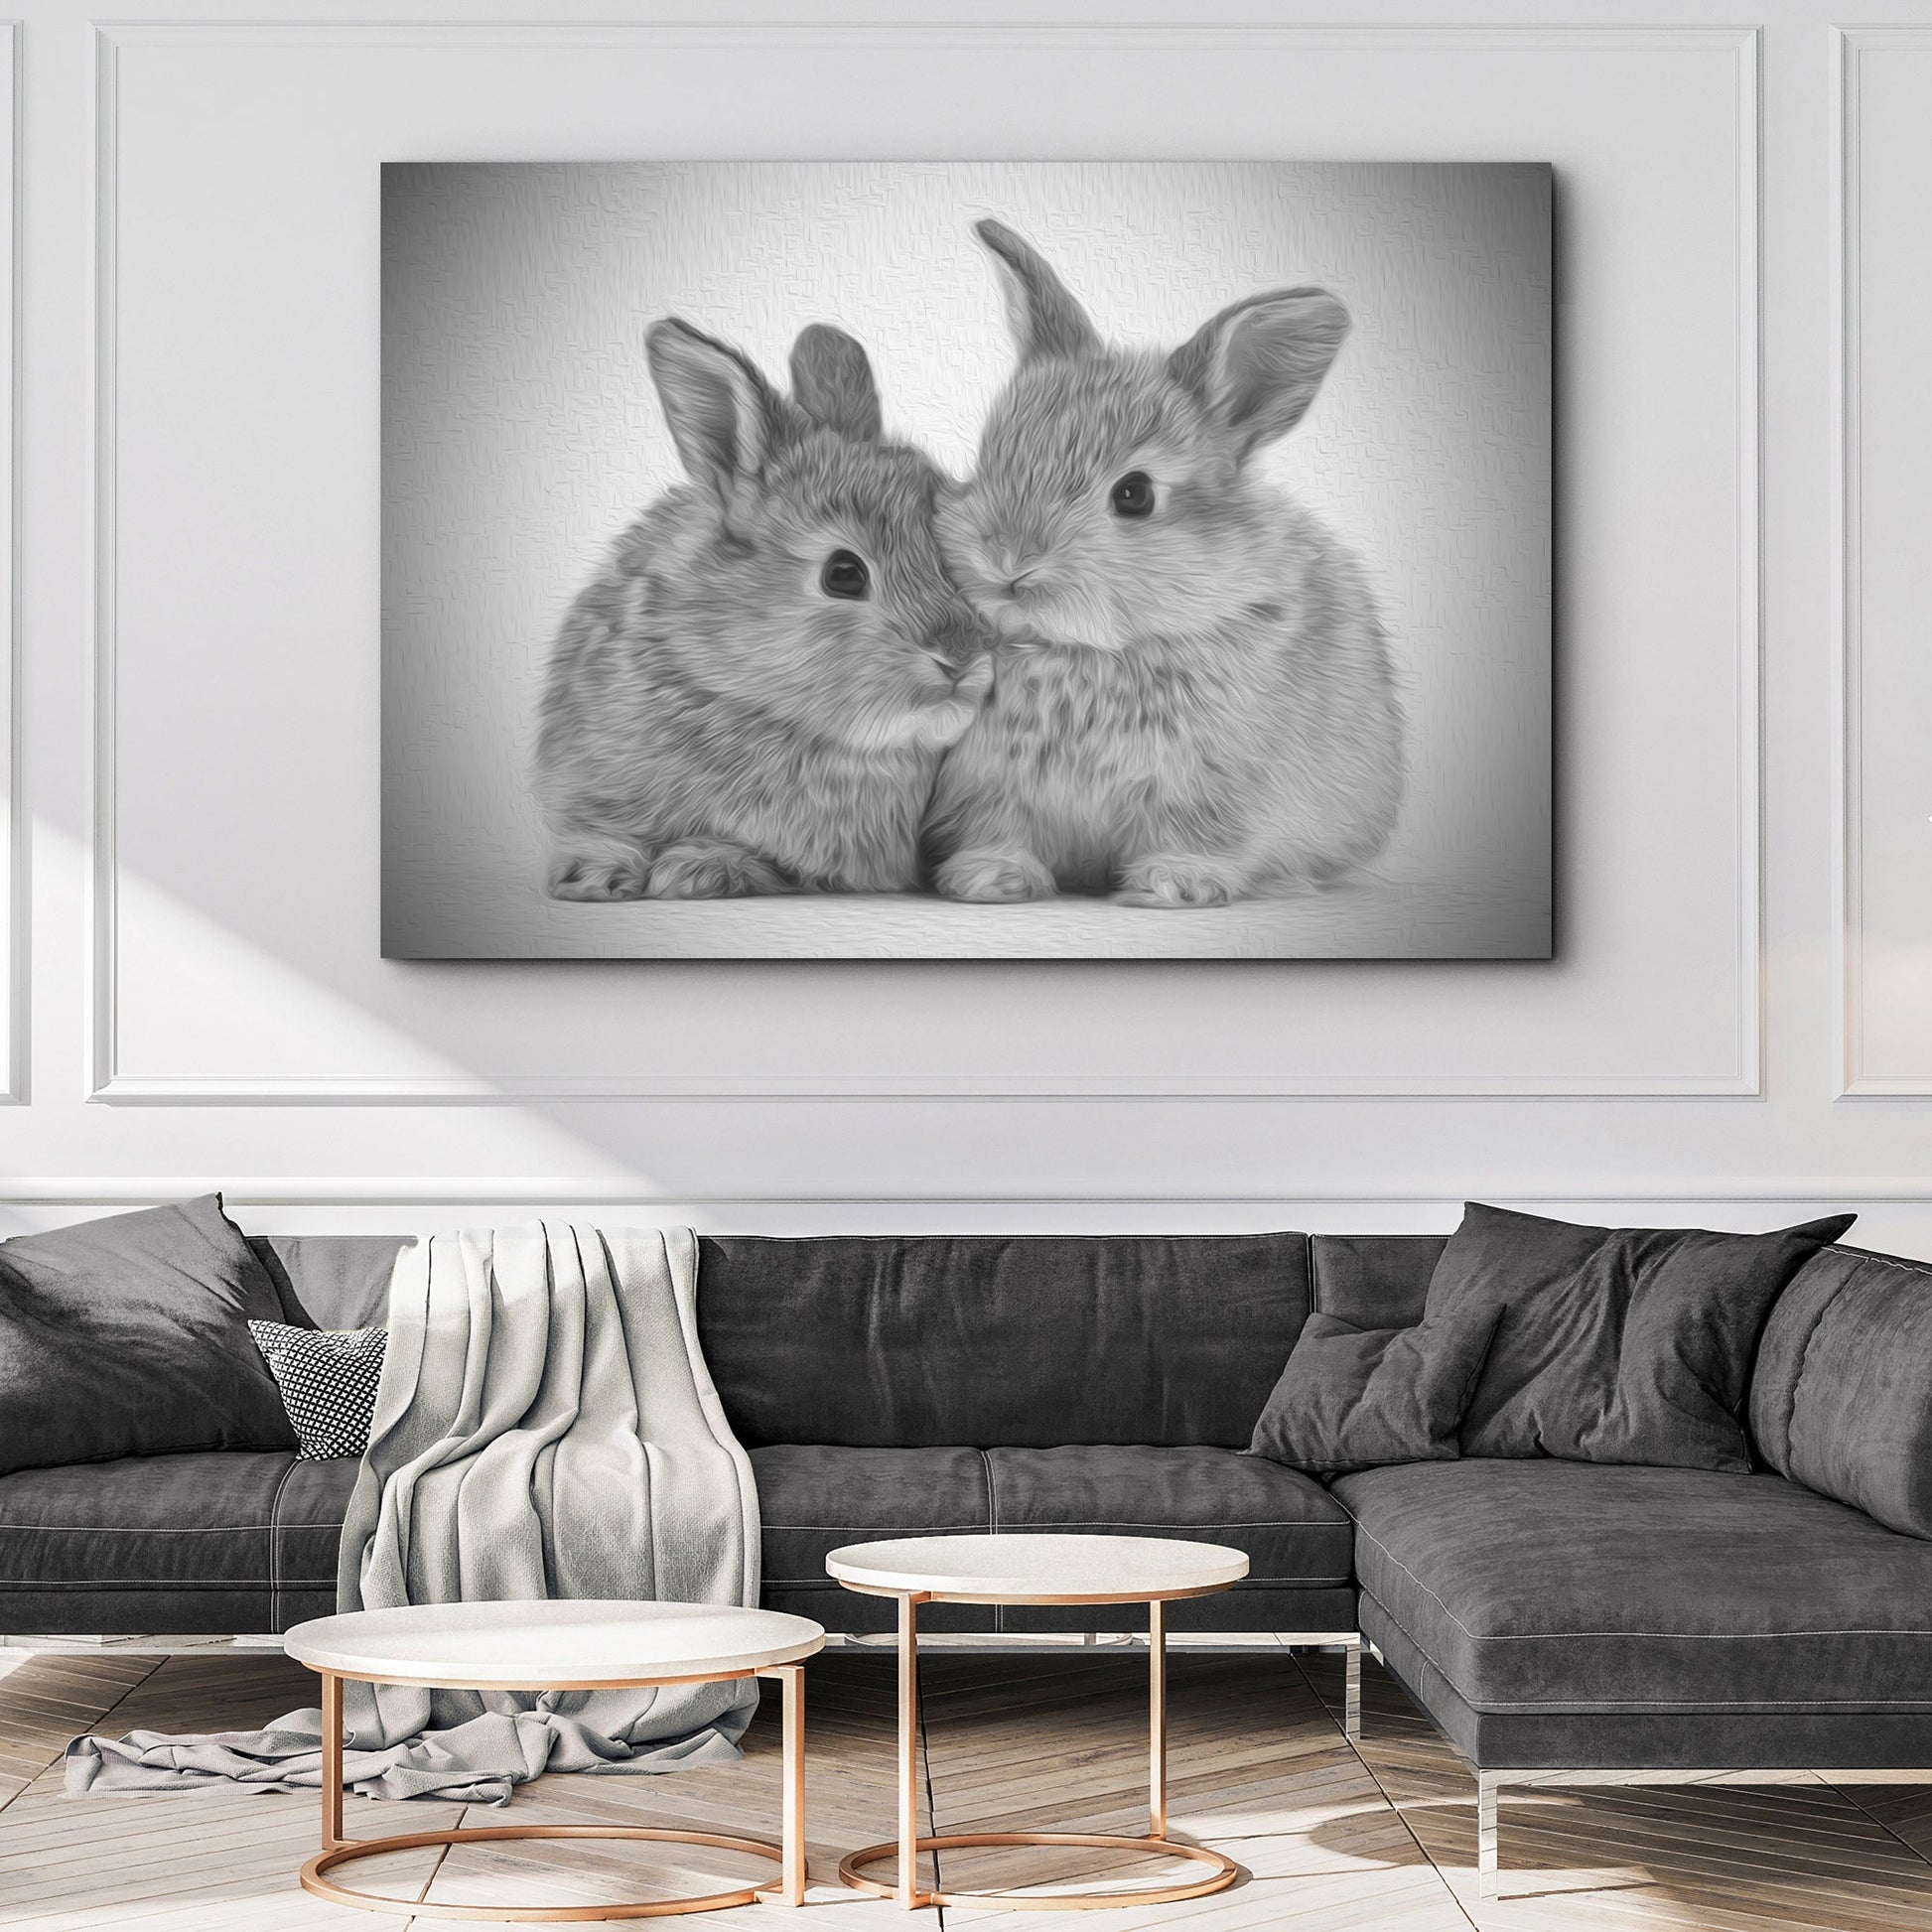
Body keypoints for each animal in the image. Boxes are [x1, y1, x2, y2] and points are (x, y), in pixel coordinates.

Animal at [535, 318, 993, 901]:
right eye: (843, 574)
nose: (963, 658)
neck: (754, 705)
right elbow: (603, 828)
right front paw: (590, 874)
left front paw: (698, 868)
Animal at [927, 218, 1403, 907]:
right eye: (990, 460)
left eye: (1135, 494)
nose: (1008, 560)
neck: (1086, 649)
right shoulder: (989, 785)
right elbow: (999, 828)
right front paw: (992, 877)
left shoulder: (1211, 784)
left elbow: (1197, 834)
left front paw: (1179, 883)